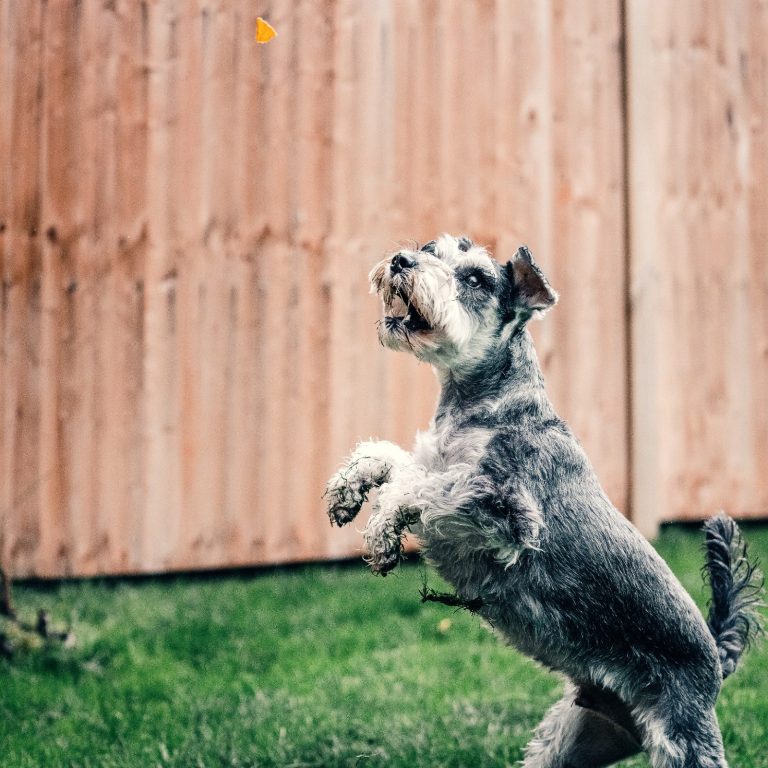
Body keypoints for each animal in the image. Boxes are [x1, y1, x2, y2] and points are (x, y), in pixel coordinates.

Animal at [324, 236, 760, 768]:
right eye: (431, 247)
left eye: (475, 278)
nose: (402, 260)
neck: (487, 403)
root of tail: (715, 660)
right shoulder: (438, 461)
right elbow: (392, 459)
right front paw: (347, 489)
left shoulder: (506, 509)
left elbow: (423, 489)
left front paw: (382, 528)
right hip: (573, 738)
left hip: (684, 741)